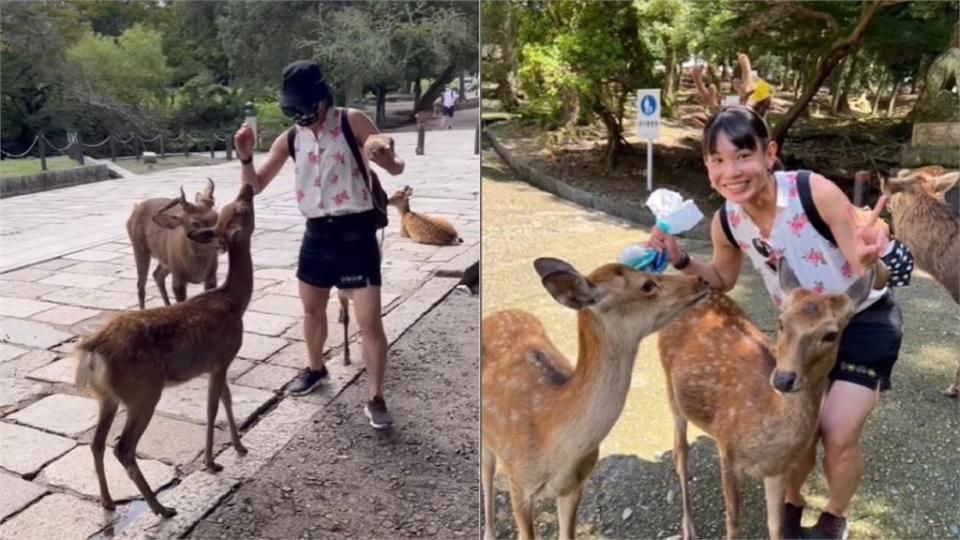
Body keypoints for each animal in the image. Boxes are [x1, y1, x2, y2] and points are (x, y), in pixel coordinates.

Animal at [127, 179, 221, 310]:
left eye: (217, 217)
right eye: (195, 223)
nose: (222, 240)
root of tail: (133, 213)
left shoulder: (212, 276)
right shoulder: (178, 279)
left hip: (166, 259)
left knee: (157, 274)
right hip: (139, 246)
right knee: (141, 284)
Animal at [656, 258, 872, 540]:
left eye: (831, 334)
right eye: (781, 322)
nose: (783, 379)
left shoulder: (779, 470)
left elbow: (776, 526)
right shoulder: (728, 450)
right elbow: (733, 522)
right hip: (671, 389)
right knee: (682, 453)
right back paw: (688, 527)